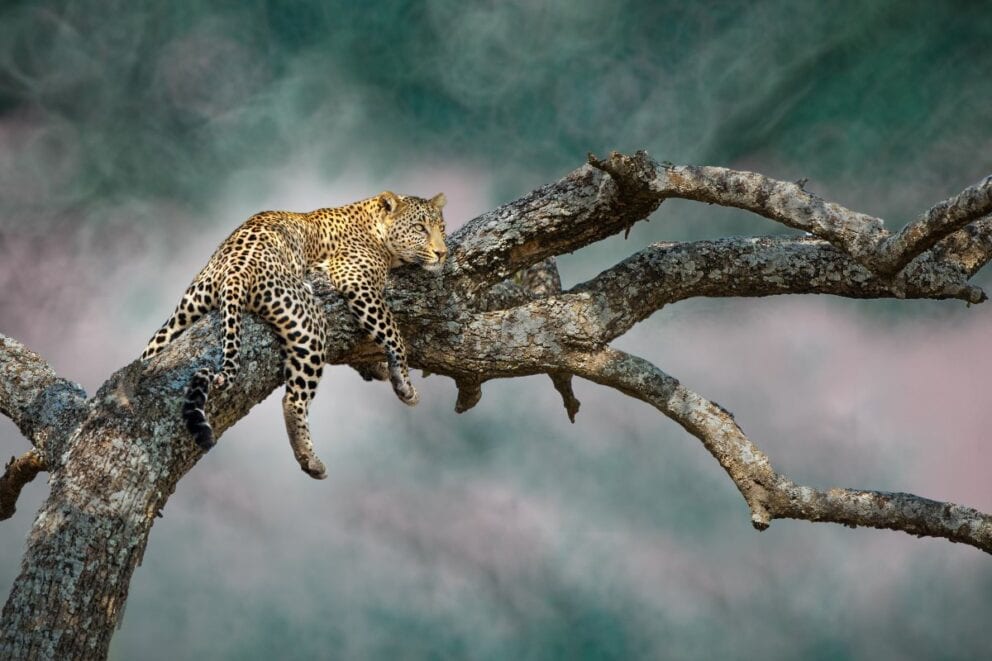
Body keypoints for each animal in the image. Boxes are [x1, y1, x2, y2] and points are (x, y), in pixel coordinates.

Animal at [141, 191, 448, 479]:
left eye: (441, 228)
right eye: (420, 228)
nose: (442, 253)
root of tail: (236, 270)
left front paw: (379, 368)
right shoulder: (357, 281)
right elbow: (392, 332)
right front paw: (403, 383)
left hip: (183, 314)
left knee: (149, 353)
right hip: (310, 322)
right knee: (293, 399)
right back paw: (309, 459)